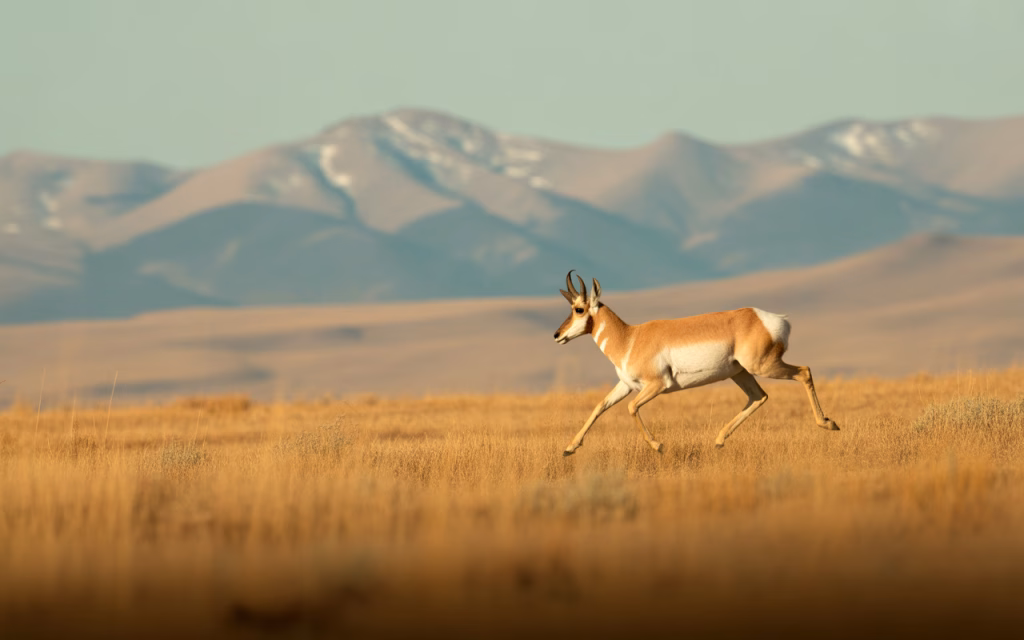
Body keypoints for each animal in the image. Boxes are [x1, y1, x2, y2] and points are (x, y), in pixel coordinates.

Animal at [553, 271, 838, 455]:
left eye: (579, 309)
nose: (557, 335)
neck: (630, 337)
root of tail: (772, 318)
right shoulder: (626, 385)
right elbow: (600, 406)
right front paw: (569, 448)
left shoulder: (656, 386)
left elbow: (632, 408)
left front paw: (659, 446)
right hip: (741, 373)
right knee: (759, 396)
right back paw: (719, 441)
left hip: (764, 367)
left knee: (804, 372)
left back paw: (829, 423)